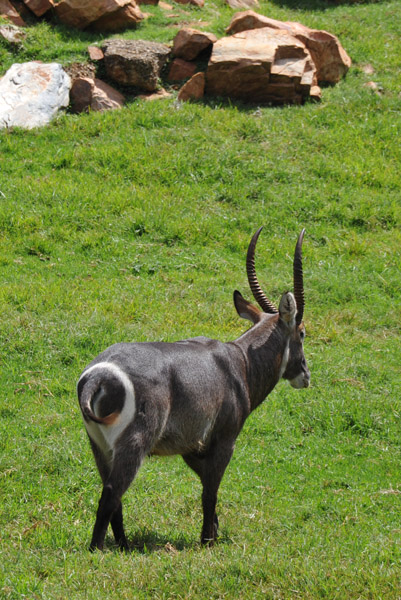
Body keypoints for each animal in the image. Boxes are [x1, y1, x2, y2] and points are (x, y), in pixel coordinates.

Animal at [77, 229, 310, 552]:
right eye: (302, 332)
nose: (306, 375)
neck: (240, 361)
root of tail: (98, 376)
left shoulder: (190, 446)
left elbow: (205, 484)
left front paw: (214, 530)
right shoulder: (224, 440)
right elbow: (210, 490)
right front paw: (208, 540)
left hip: (99, 446)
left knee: (113, 496)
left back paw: (124, 545)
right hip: (134, 443)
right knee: (112, 492)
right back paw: (99, 550)